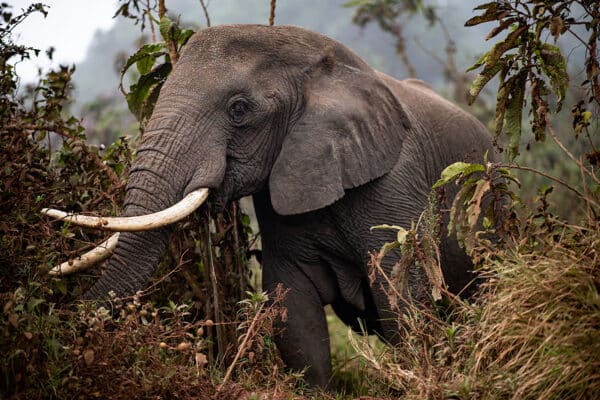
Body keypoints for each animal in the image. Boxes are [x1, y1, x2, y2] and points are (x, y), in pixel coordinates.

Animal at [41, 24, 492, 388]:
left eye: (239, 110)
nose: (62, 314)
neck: (319, 65)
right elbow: (293, 304)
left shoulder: (395, 182)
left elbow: (403, 294)